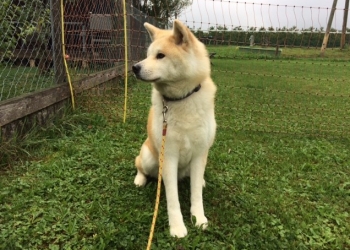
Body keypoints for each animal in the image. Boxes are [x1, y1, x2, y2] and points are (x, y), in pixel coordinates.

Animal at [133, 19, 217, 238]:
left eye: (160, 55)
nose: (135, 67)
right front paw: (177, 227)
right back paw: (140, 179)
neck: (181, 99)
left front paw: (199, 218)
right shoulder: (169, 156)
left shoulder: (200, 153)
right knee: (140, 166)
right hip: (149, 157)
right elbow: (173, 199)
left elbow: (196, 194)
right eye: (148, 54)